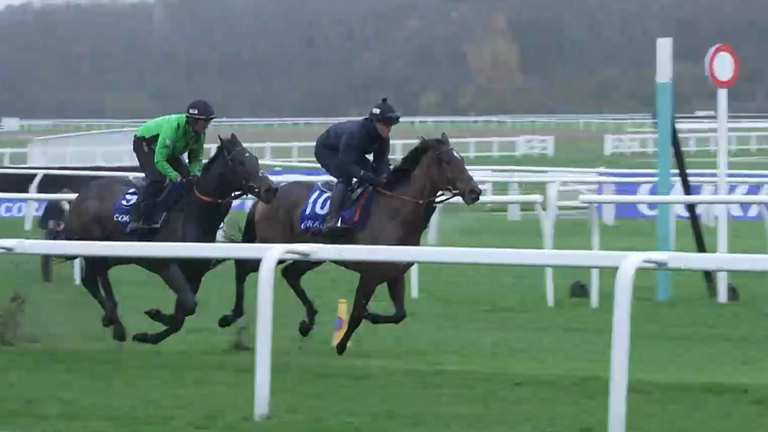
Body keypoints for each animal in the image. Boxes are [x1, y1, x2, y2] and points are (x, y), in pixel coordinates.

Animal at [59, 132, 280, 344]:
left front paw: (150, 331)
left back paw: (110, 320)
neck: (193, 213)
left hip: (116, 255)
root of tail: (80, 197)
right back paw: (116, 324)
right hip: (97, 248)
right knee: (99, 278)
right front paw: (155, 316)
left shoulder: (195, 274)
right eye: (241, 162)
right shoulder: (167, 266)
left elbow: (182, 314)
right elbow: (188, 306)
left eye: (256, 159)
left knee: (90, 279)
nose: (271, 189)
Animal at [216, 133, 480, 356]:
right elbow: (356, 313)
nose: (474, 191)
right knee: (243, 267)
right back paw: (230, 317)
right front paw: (341, 344)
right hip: (272, 242)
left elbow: (399, 314)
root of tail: (268, 195)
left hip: (313, 254)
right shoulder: (371, 274)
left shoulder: (395, 273)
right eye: (447, 161)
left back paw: (307, 321)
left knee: (290, 273)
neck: (395, 211)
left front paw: (372, 316)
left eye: (462, 159)